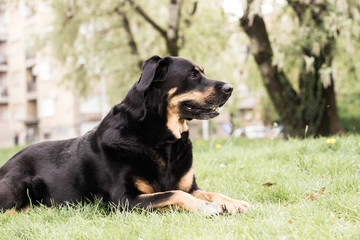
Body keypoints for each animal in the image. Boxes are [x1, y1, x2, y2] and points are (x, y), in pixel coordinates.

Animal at [0, 55, 250, 214]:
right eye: (191, 75)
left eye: (202, 73)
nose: (230, 88)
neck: (161, 138)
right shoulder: (123, 199)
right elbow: (174, 194)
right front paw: (207, 208)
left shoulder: (192, 187)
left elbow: (209, 192)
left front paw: (233, 202)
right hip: (17, 186)